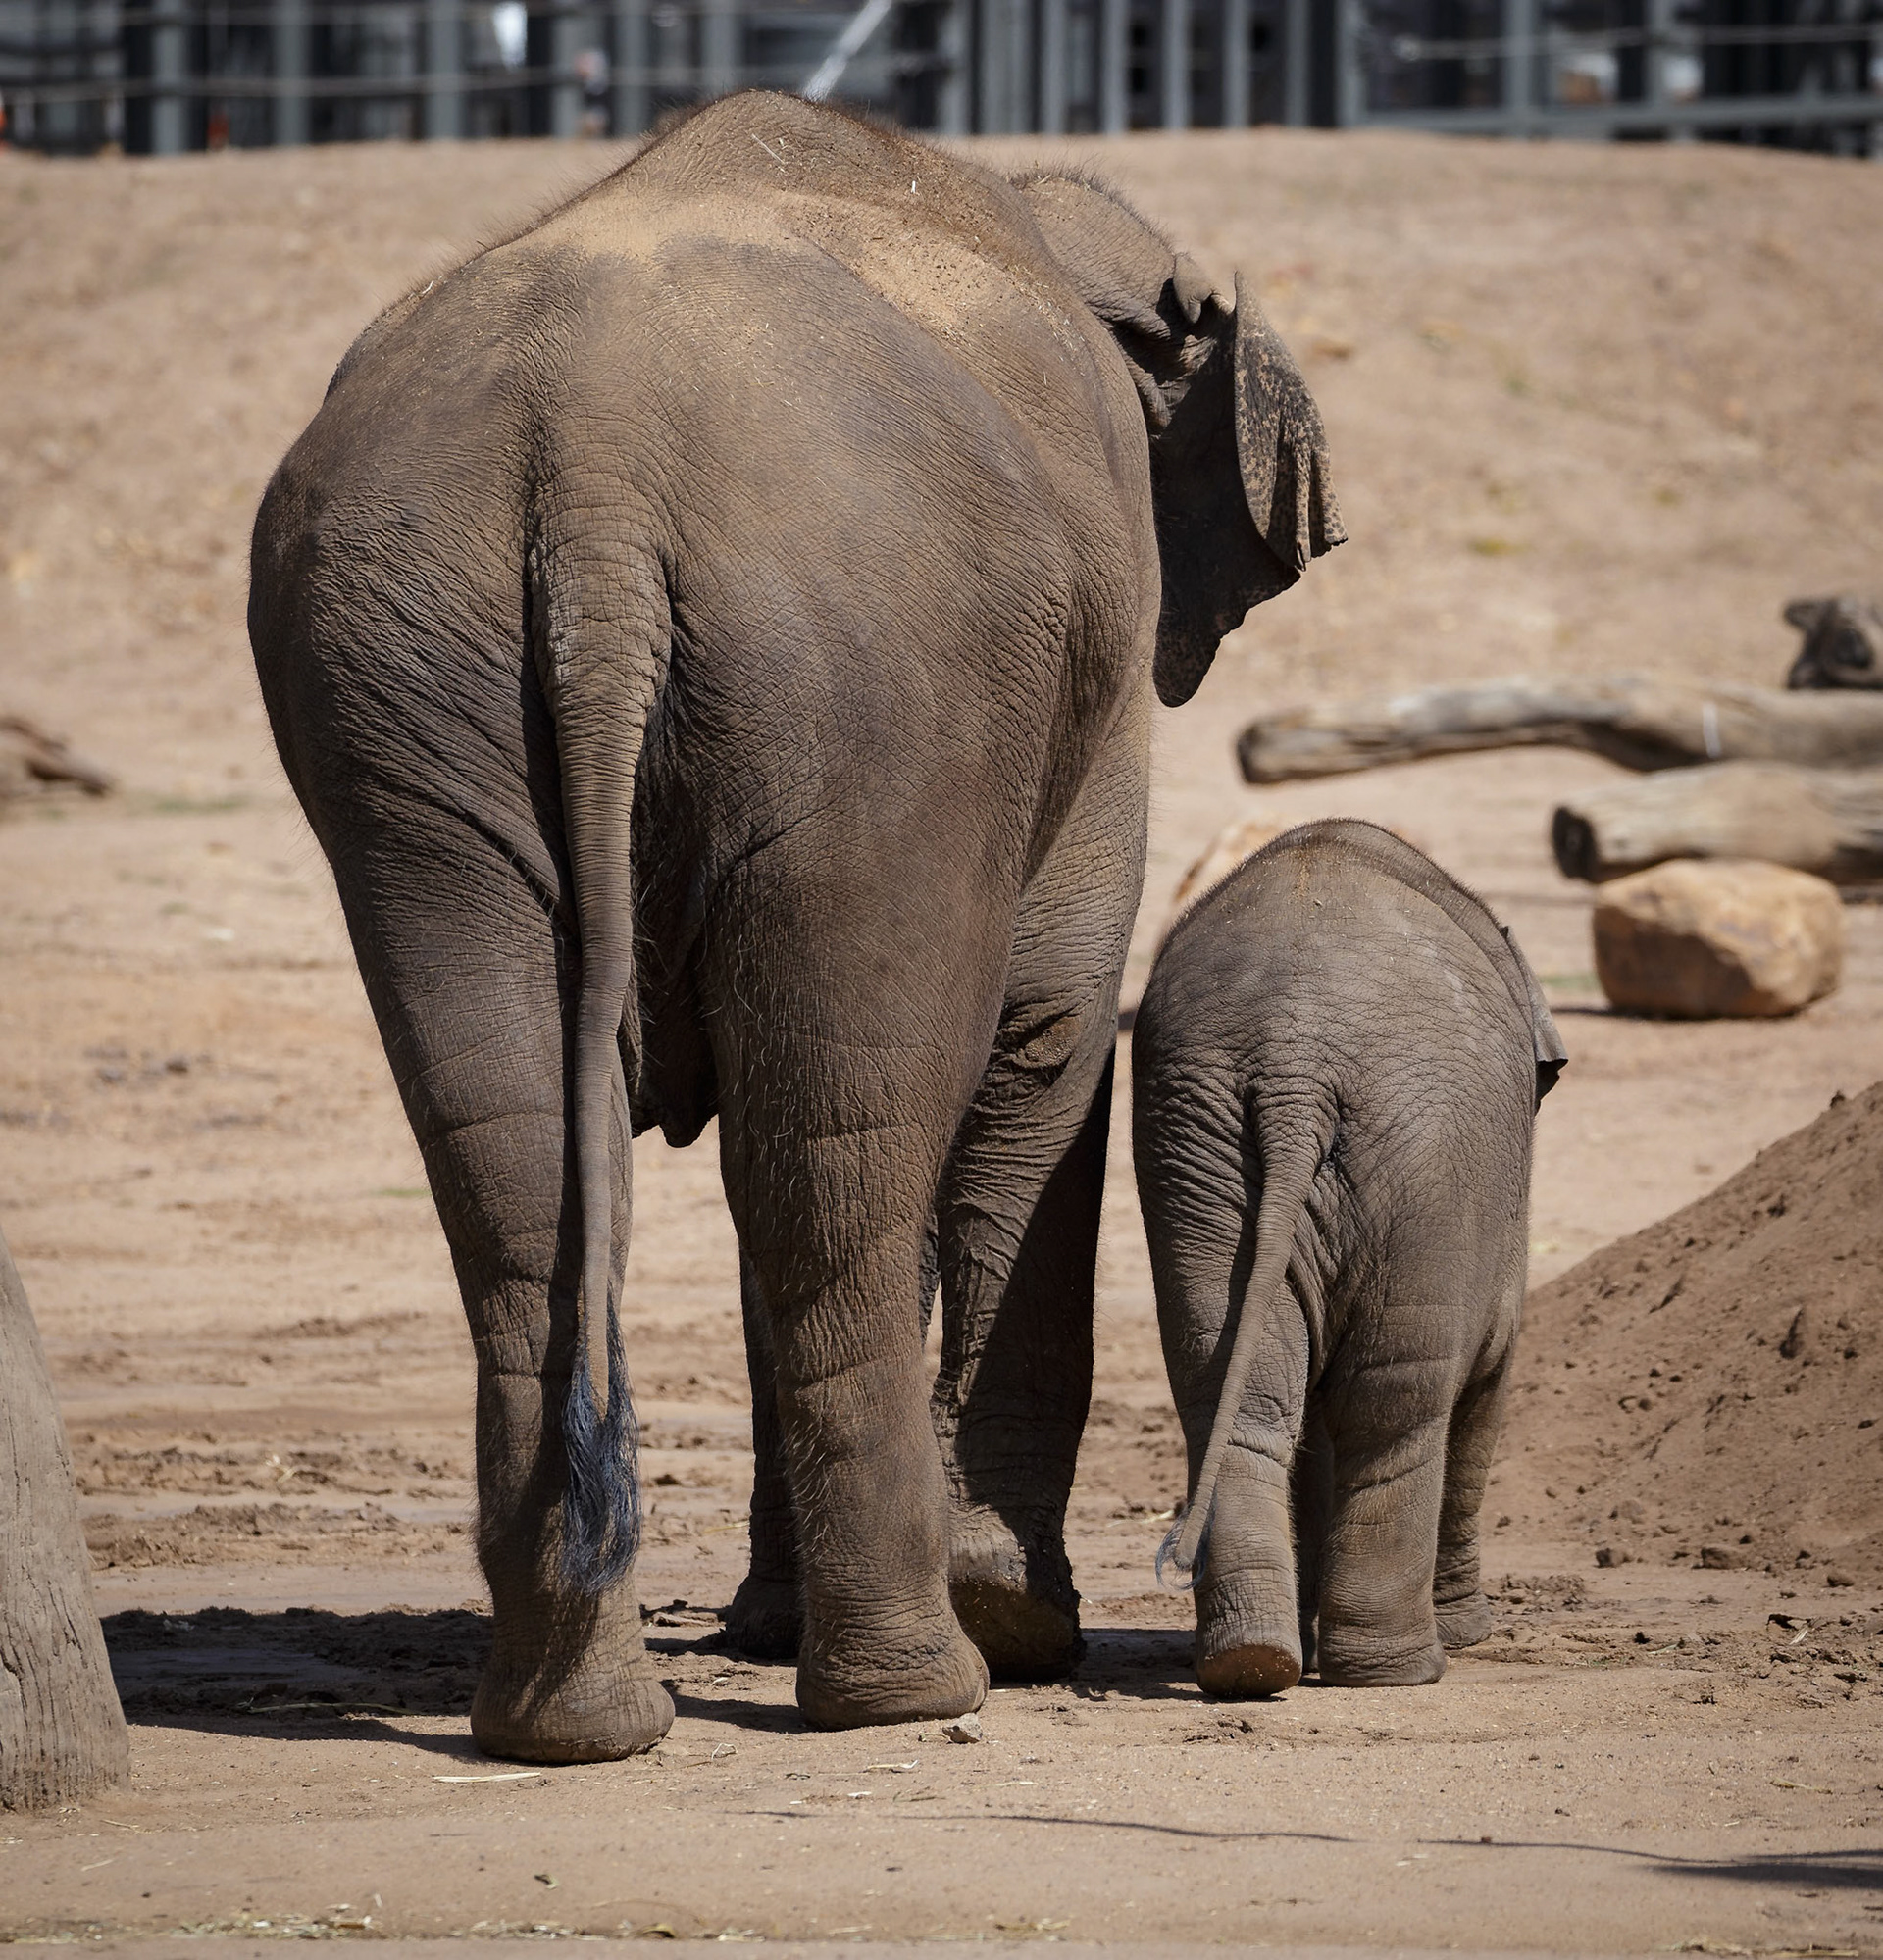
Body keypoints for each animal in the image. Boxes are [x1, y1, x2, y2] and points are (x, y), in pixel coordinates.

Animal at [247, 90, 1343, 1759]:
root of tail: (598, 475)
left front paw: (769, 1623)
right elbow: (1049, 1038)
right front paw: (1021, 1621)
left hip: (400, 693)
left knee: (530, 1162)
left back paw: (573, 1723)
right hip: (871, 698)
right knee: (835, 1158)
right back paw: (918, 1685)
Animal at [1132, 819, 1564, 1695]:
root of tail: (1293, 1068)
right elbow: (1487, 1376)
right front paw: (1470, 1633)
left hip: (1195, 1147)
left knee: (1232, 1383)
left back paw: (1253, 1659)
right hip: (1426, 1164)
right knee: (1397, 1394)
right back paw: (1398, 1667)